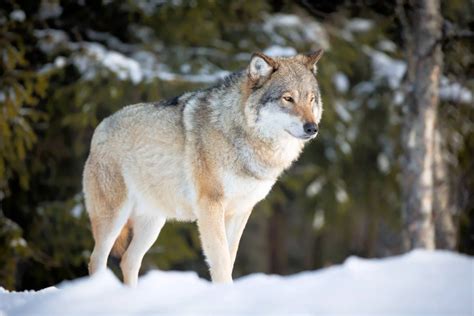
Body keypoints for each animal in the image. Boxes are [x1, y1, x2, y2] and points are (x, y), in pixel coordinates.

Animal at [83, 50, 324, 286]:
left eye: (311, 99)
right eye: (288, 98)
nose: (312, 128)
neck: (241, 133)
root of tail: (100, 127)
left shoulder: (241, 211)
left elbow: (230, 258)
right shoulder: (210, 206)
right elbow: (221, 262)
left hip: (153, 224)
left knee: (128, 261)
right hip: (114, 218)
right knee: (96, 260)